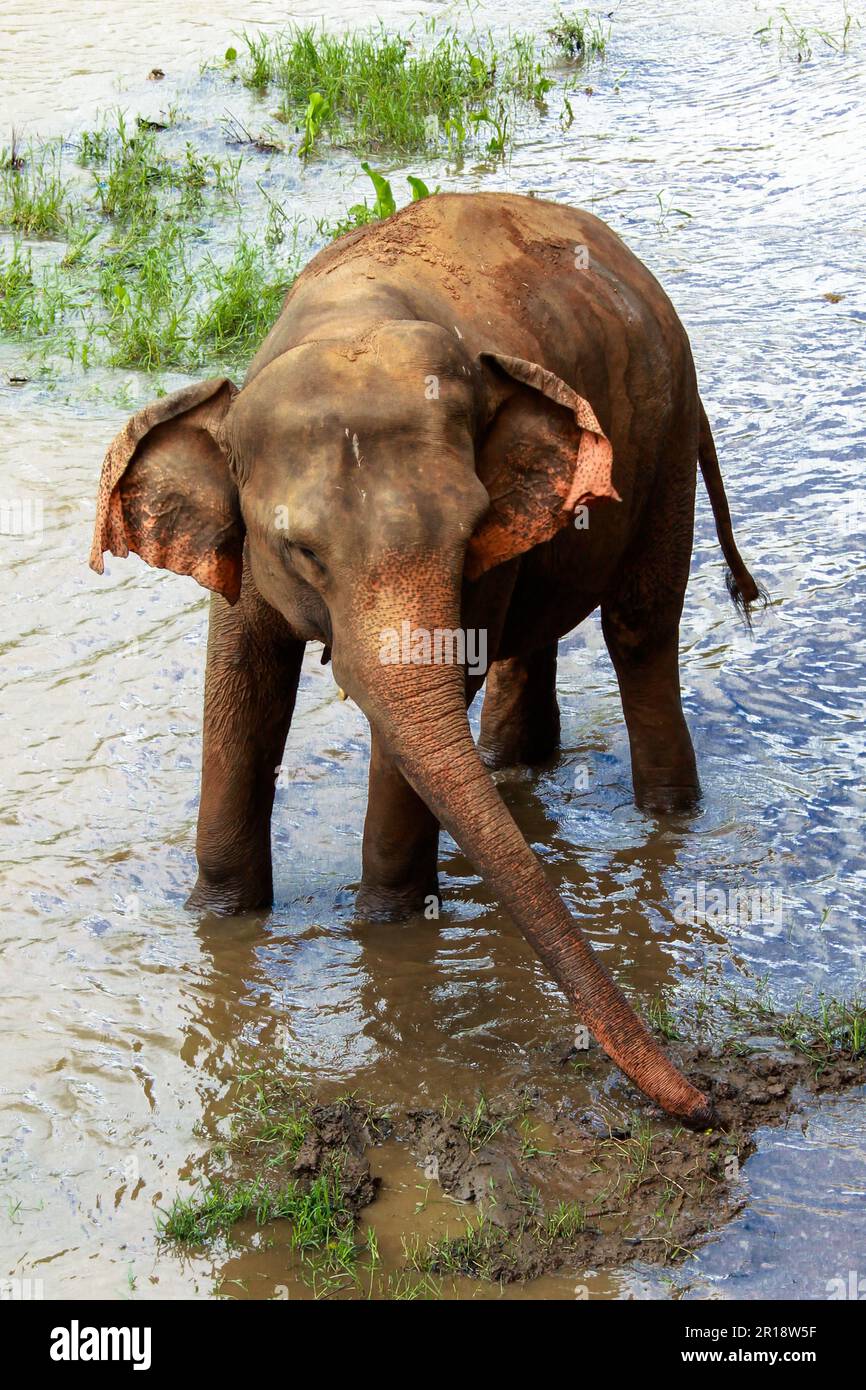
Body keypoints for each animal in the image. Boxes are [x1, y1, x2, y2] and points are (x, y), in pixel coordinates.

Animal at [91, 193, 761, 1128]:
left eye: (467, 531)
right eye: (301, 551)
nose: (708, 1106)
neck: (350, 318)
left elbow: (434, 693)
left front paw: (386, 925)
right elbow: (242, 681)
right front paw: (220, 918)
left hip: (664, 440)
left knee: (638, 631)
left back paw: (667, 816)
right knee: (536, 645)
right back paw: (515, 767)